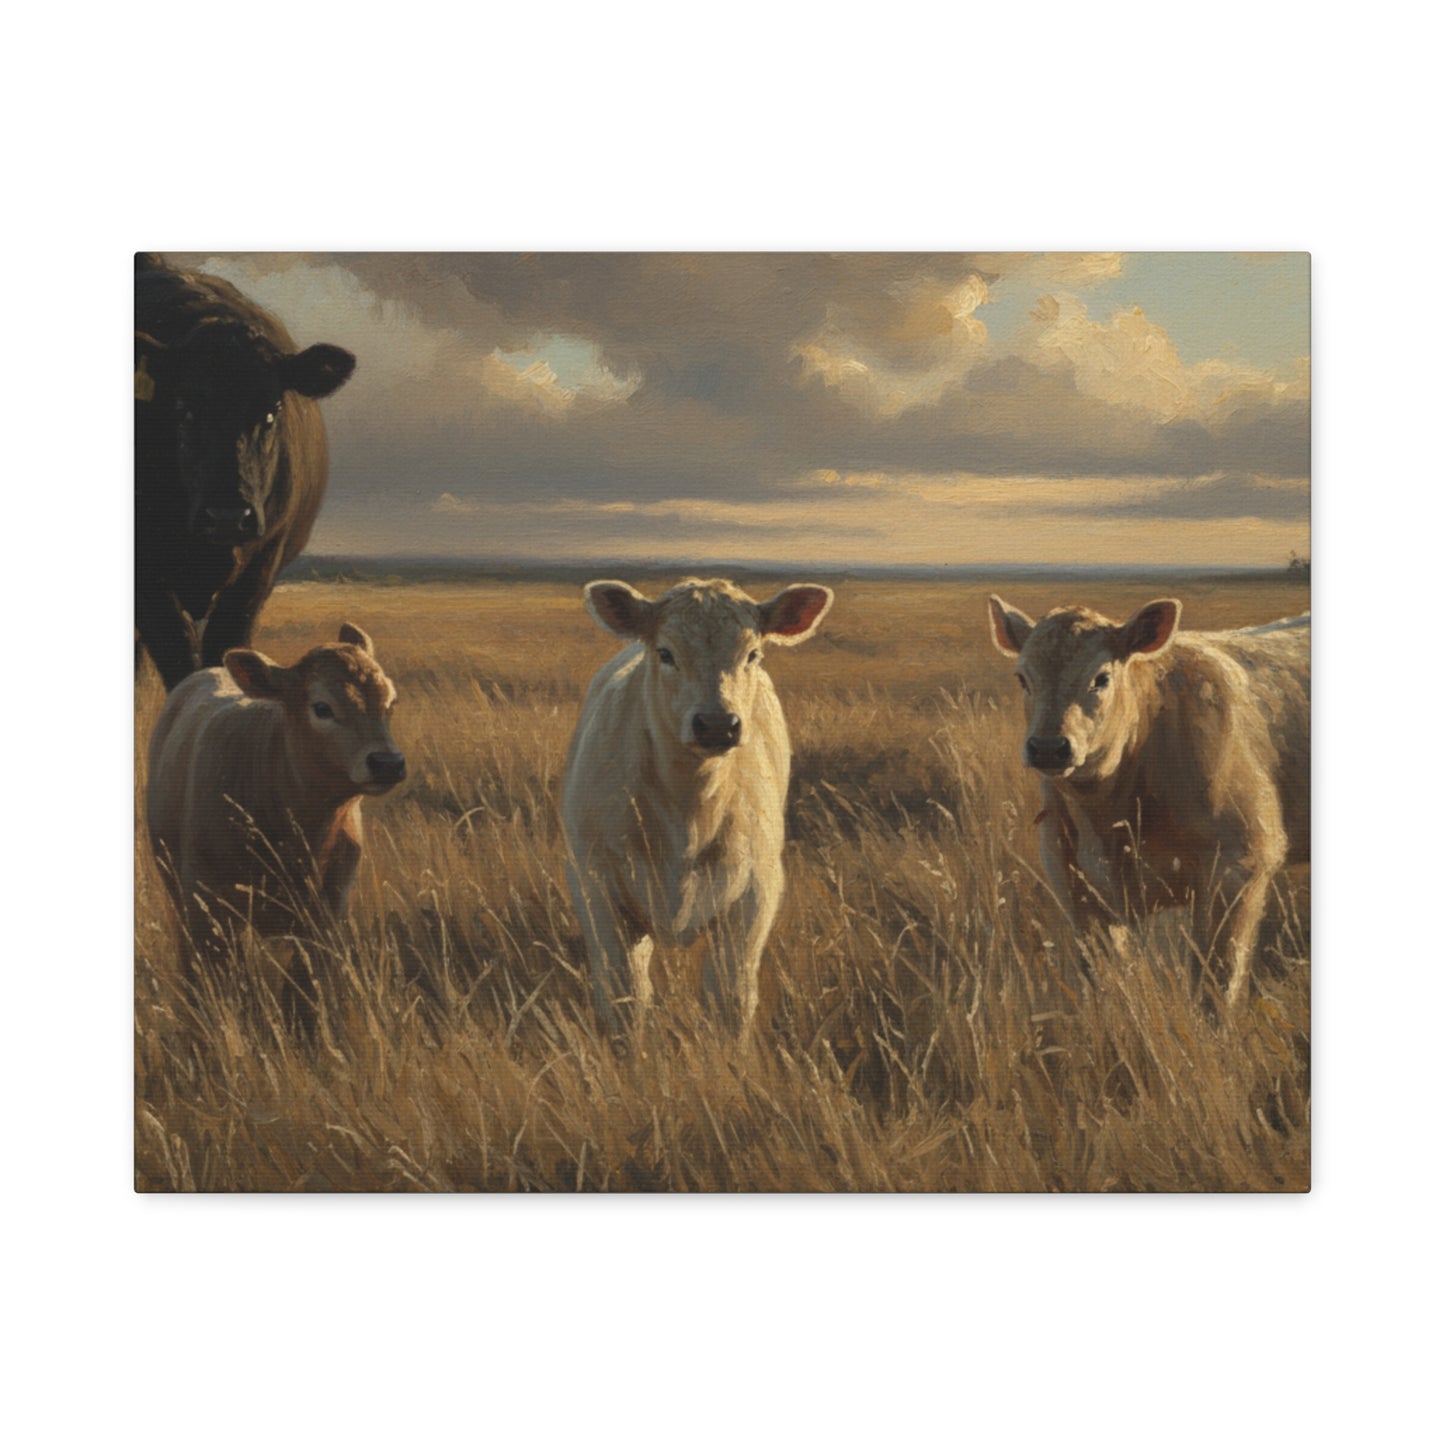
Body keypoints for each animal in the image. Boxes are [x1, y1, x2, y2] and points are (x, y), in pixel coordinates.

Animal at [135, 253, 356, 690]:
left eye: (271, 412)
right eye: (184, 410)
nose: (228, 517)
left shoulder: (258, 572)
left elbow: (224, 653)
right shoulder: (147, 580)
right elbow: (180, 660)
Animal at [562, 577, 833, 1036]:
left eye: (753, 654)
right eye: (665, 653)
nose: (718, 725)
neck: (687, 812)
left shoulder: (757, 891)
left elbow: (730, 998)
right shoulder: (596, 886)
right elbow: (624, 997)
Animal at [988, 595, 1309, 1009]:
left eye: (1101, 678)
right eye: (1022, 678)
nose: (1047, 747)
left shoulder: (1241, 866)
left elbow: (1215, 987)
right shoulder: (1076, 887)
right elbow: (1103, 986)